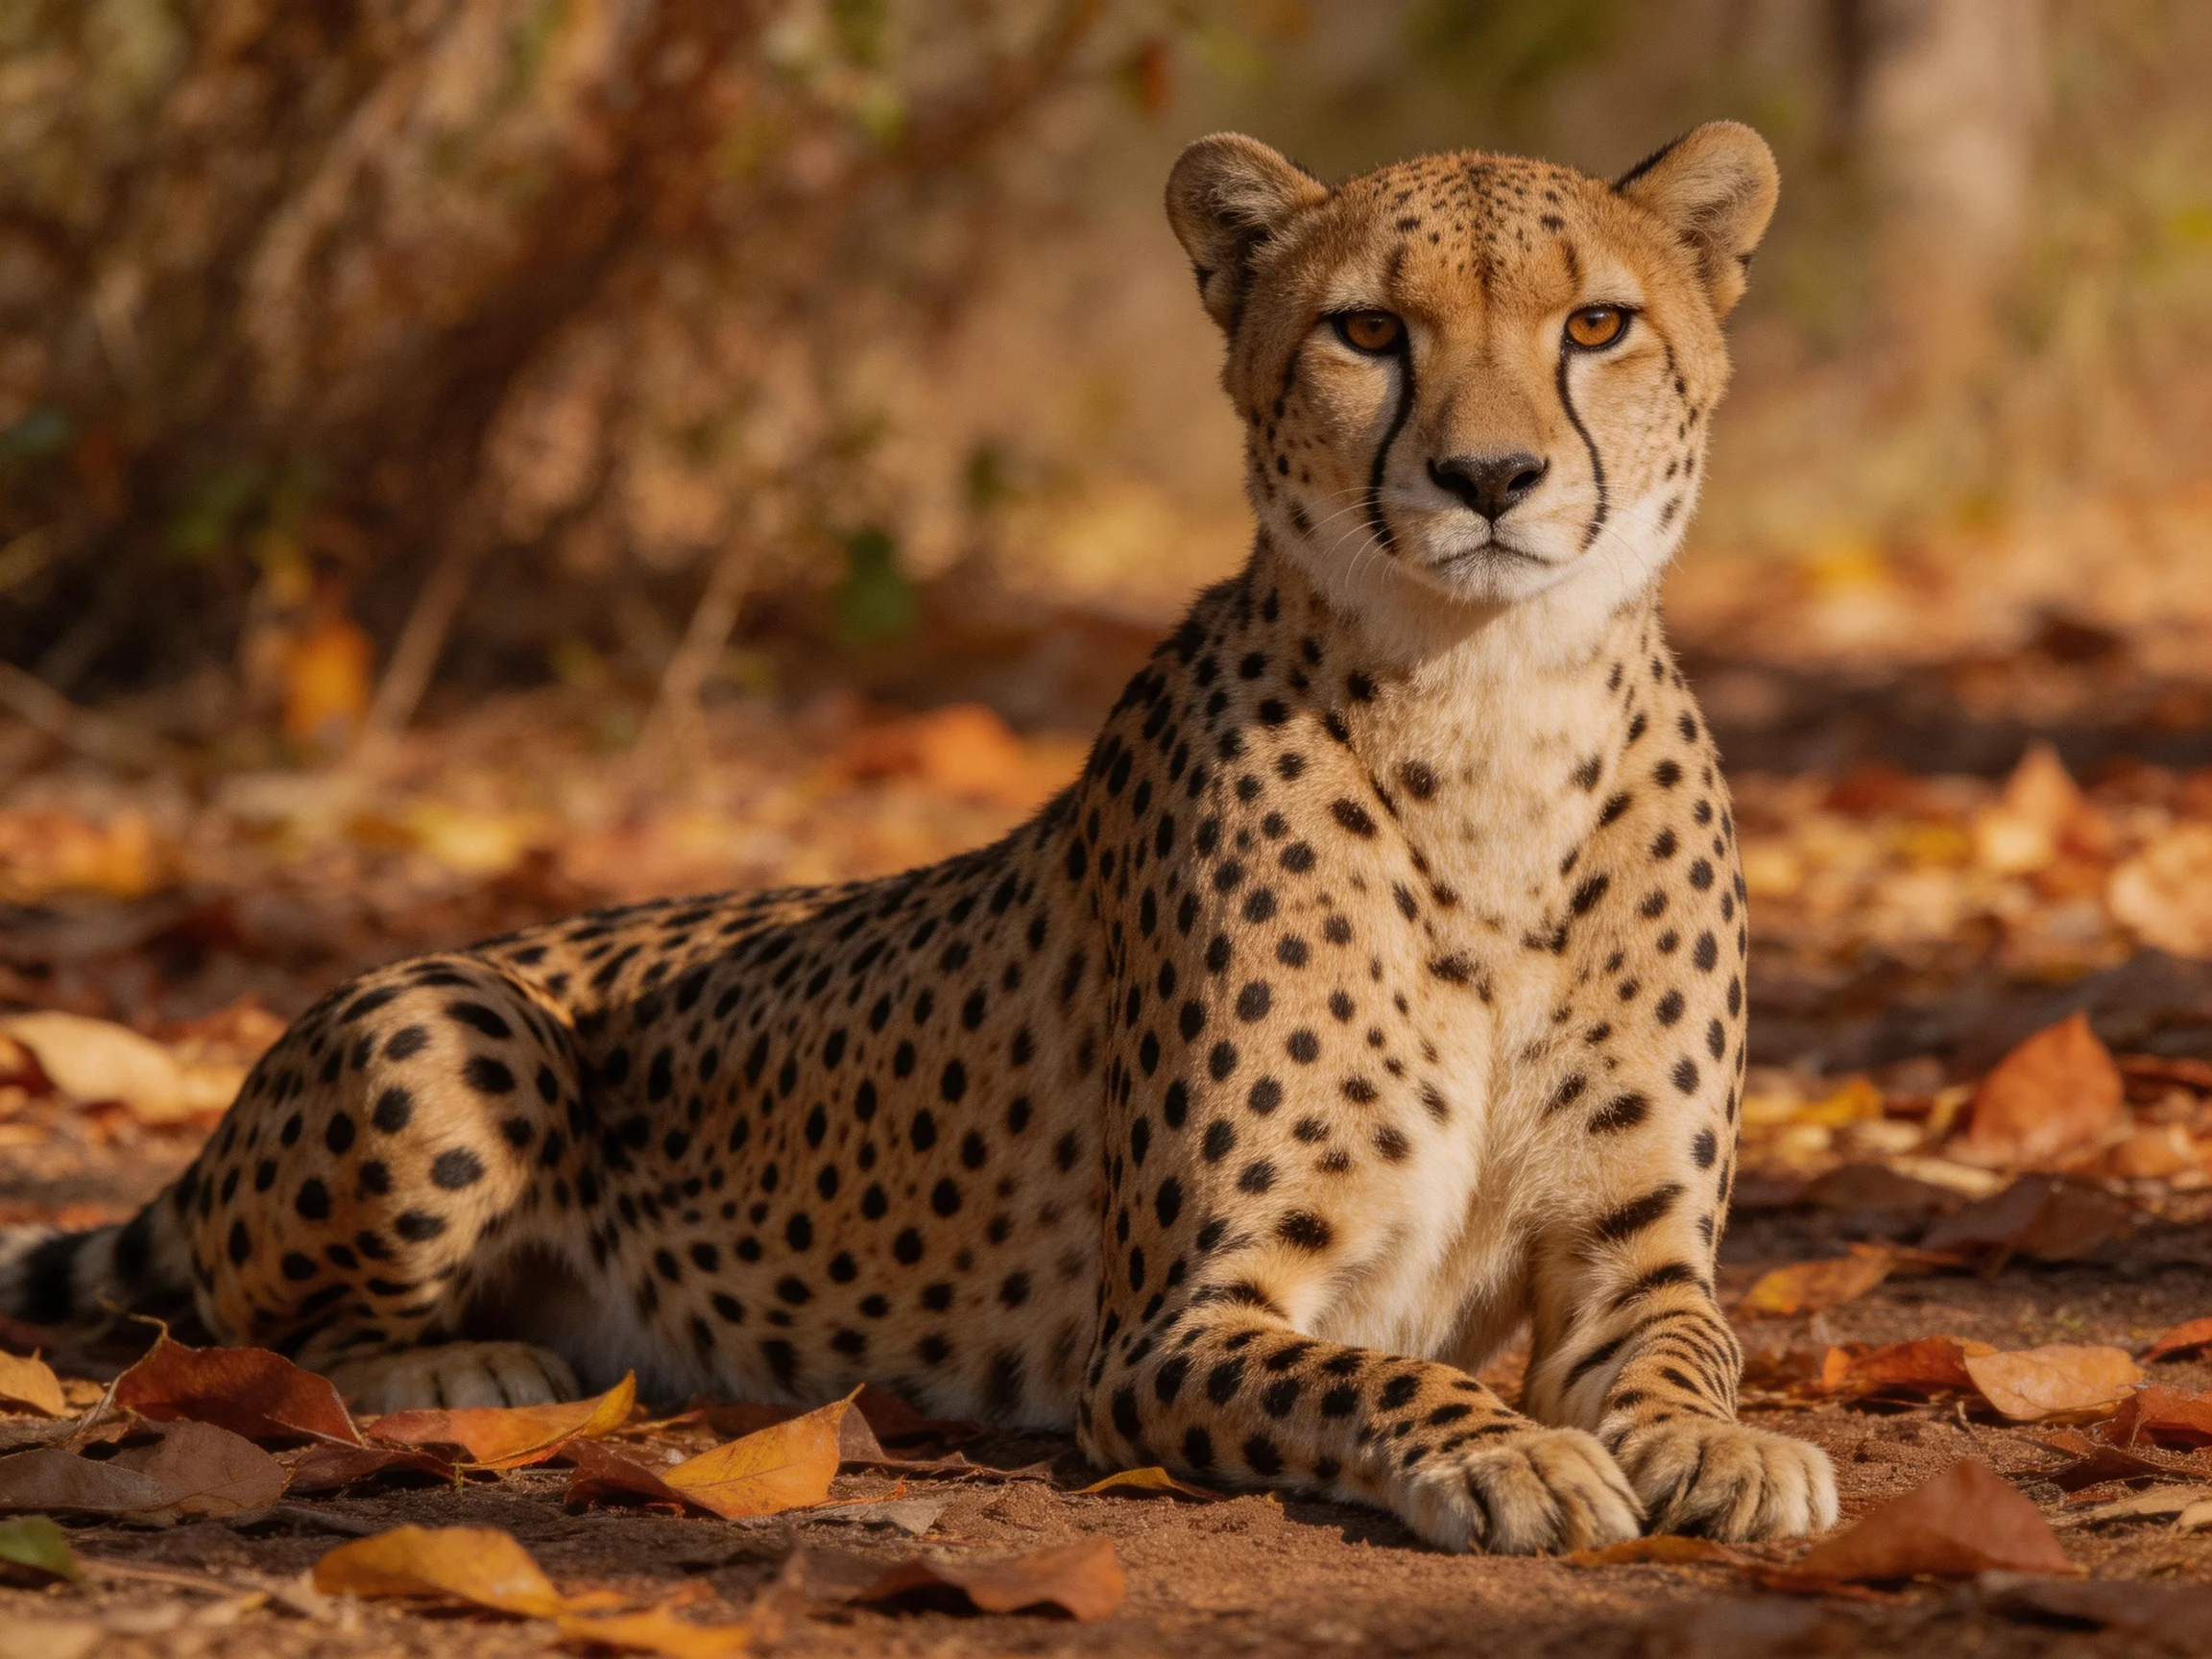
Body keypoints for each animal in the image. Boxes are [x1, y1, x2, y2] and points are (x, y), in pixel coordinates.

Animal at [2, 121, 1837, 1553]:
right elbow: (1379, 1370)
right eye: (1368, 329)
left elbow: (1688, 1351)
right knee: (247, 1323)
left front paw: (1721, 1447)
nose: (1488, 477)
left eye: (1595, 323)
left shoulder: (1629, 1257)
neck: (1487, 705)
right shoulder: (1172, 1322)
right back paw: (467, 1365)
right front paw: (1513, 1450)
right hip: (441, 1017)